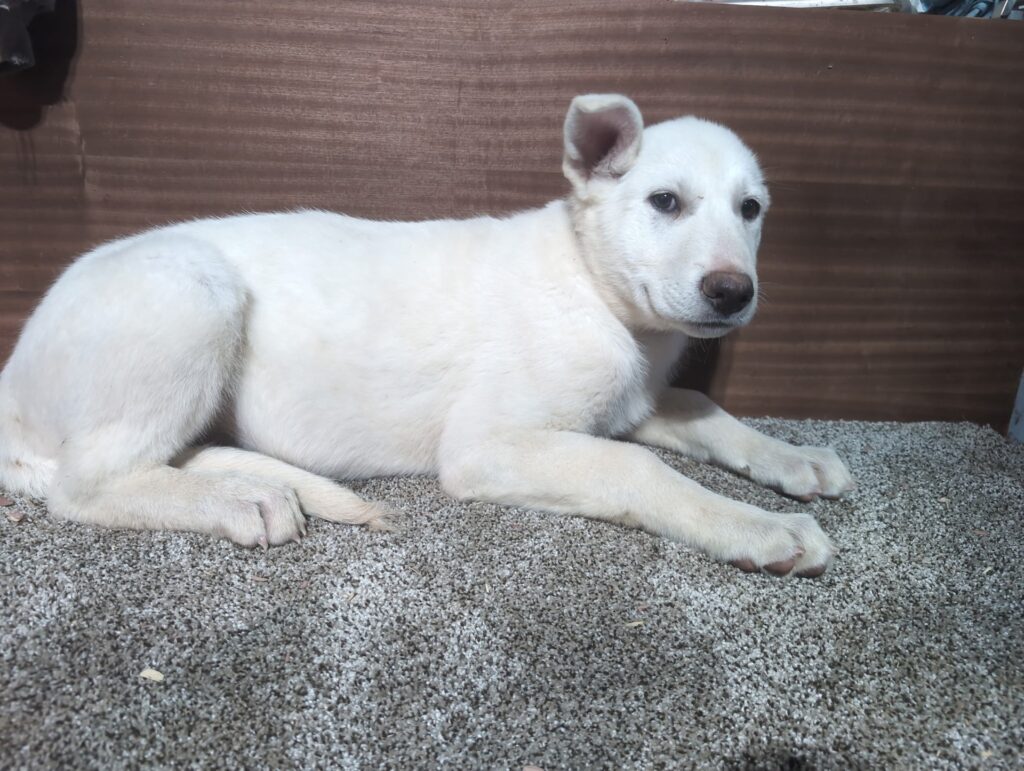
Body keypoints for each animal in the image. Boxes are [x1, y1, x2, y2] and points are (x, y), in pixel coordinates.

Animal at [0, 94, 853, 577]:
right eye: (665, 202)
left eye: (751, 210)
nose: (732, 292)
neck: (599, 296)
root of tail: (11, 389)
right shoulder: (489, 445)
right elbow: (640, 469)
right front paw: (758, 526)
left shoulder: (629, 402)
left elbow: (702, 410)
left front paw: (794, 459)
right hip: (193, 292)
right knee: (85, 484)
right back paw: (237, 501)